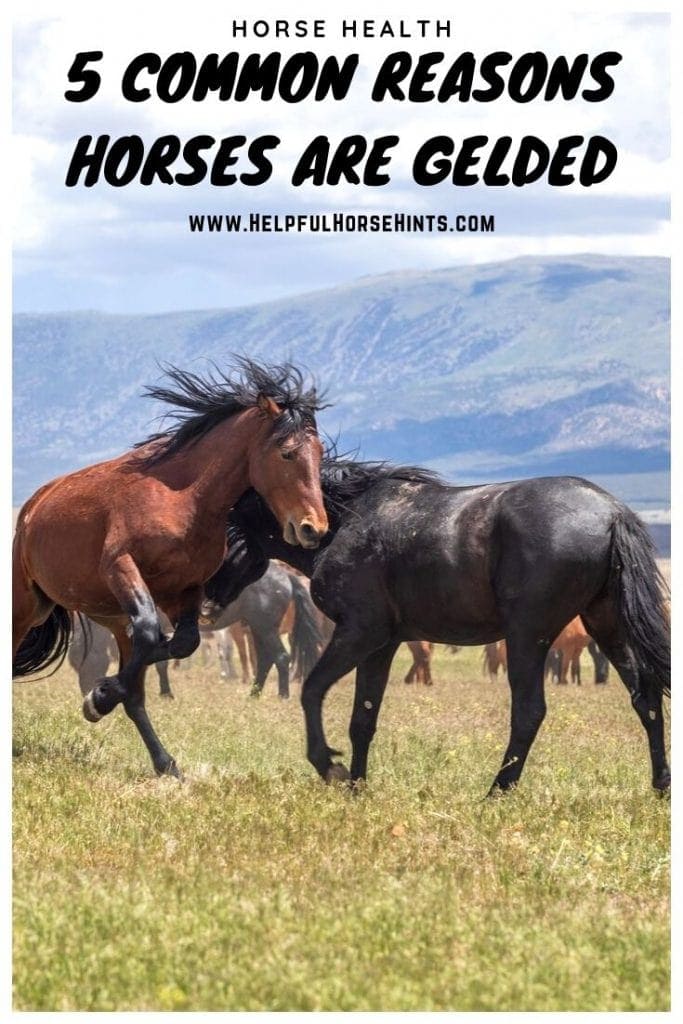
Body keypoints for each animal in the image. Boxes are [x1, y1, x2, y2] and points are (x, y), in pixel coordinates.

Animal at [12, 359, 328, 777]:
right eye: (288, 453)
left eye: (320, 452)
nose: (313, 529)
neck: (183, 498)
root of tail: (31, 510)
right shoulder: (121, 566)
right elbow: (151, 633)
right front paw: (100, 696)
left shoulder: (186, 590)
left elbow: (177, 644)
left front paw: (100, 697)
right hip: (28, 605)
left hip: (111, 616)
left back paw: (165, 761)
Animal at [206, 458, 670, 795]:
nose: (204, 606)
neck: (344, 523)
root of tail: (613, 513)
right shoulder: (382, 645)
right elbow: (363, 718)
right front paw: (358, 785)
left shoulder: (359, 633)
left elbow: (312, 690)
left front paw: (329, 767)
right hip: (607, 625)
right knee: (645, 698)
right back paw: (660, 785)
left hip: (529, 636)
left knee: (529, 711)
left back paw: (497, 791)